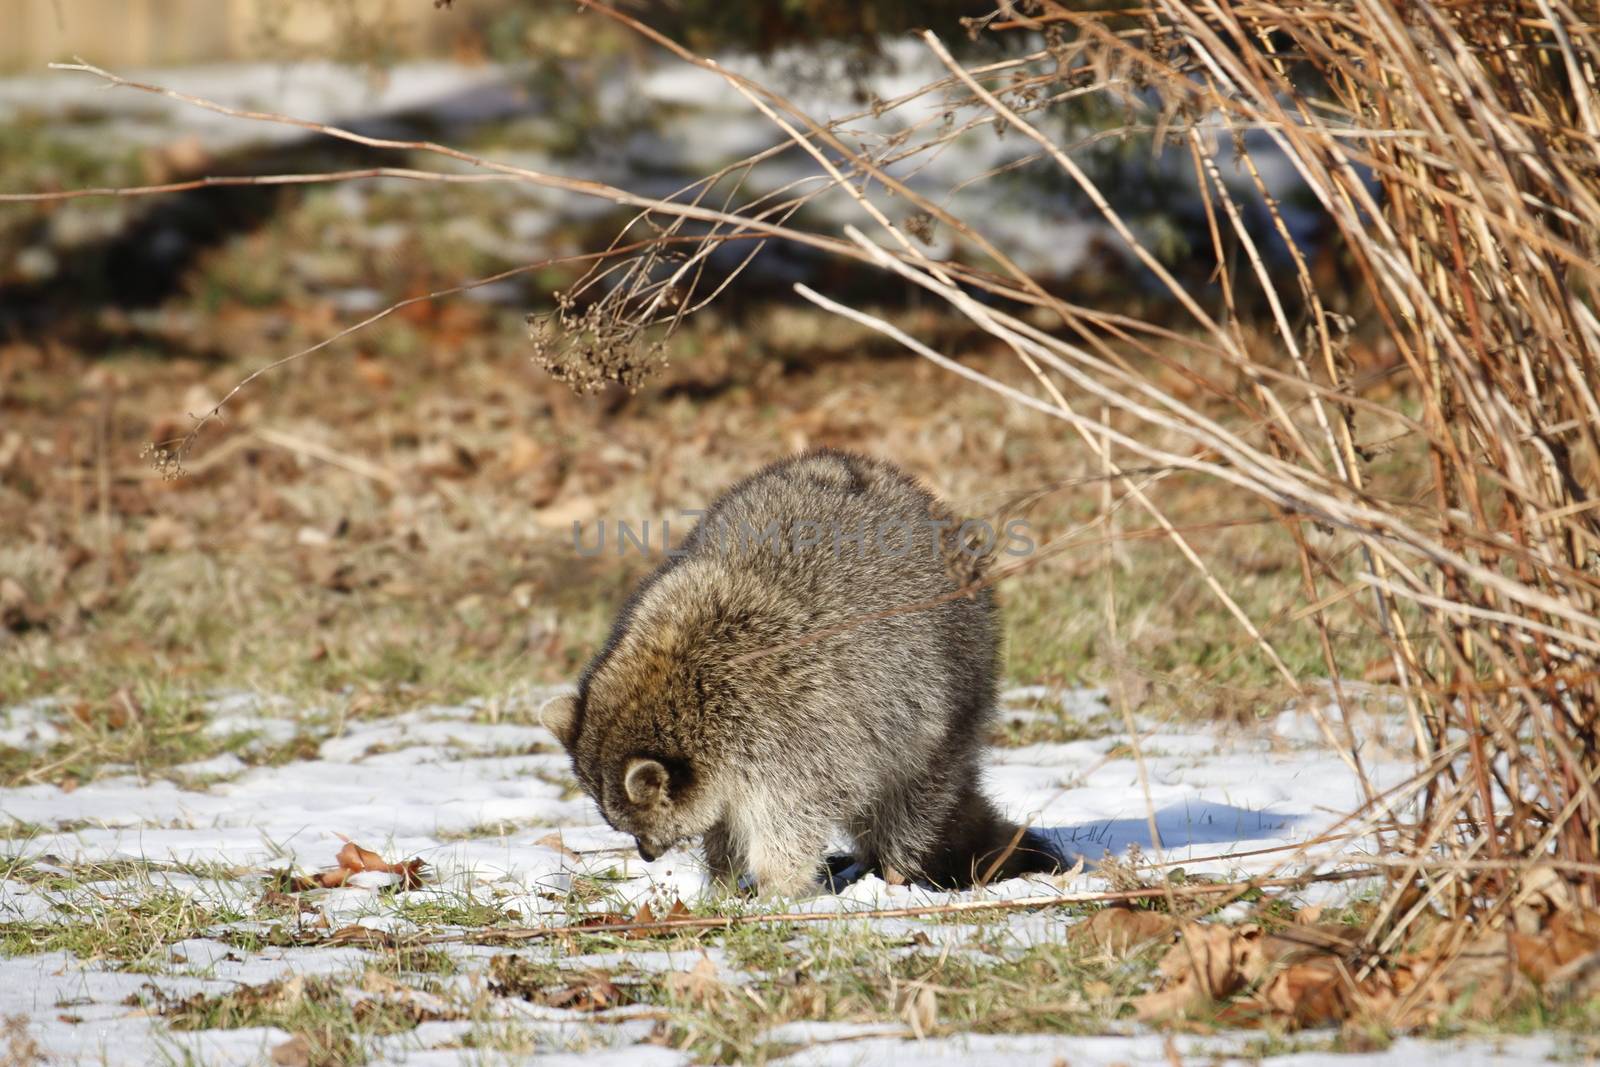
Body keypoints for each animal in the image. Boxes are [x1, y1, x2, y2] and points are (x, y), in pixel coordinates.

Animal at [540, 447, 1062, 895]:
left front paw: (778, 884)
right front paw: (721, 879)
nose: (647, 855)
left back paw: (894, 869)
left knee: (915, 798)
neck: (671, 682)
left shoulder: (792, 733)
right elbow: (724, 822)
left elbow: (791, 818)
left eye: (639, 822)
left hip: (954, 680)